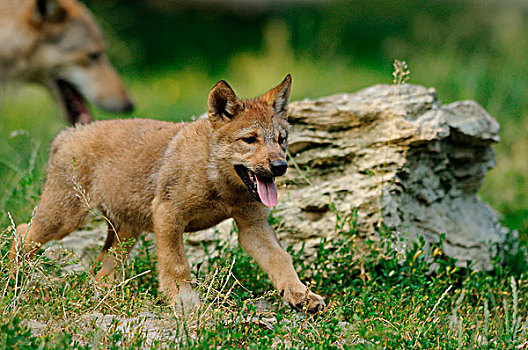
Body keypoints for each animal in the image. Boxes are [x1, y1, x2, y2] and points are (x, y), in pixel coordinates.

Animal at [10, 75, 326, 314]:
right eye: (250, 140)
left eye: (281, 140)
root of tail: (68, 134)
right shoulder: (168, 216)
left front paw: (301, 295)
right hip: (63, 219)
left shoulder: (253, 227)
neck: (219, 183)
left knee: (100, 272)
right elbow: (177, 266)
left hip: (125, 233)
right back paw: (14, 279)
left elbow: (281, 260)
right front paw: (184, 302)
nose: (280, 166)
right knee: (23, 232)